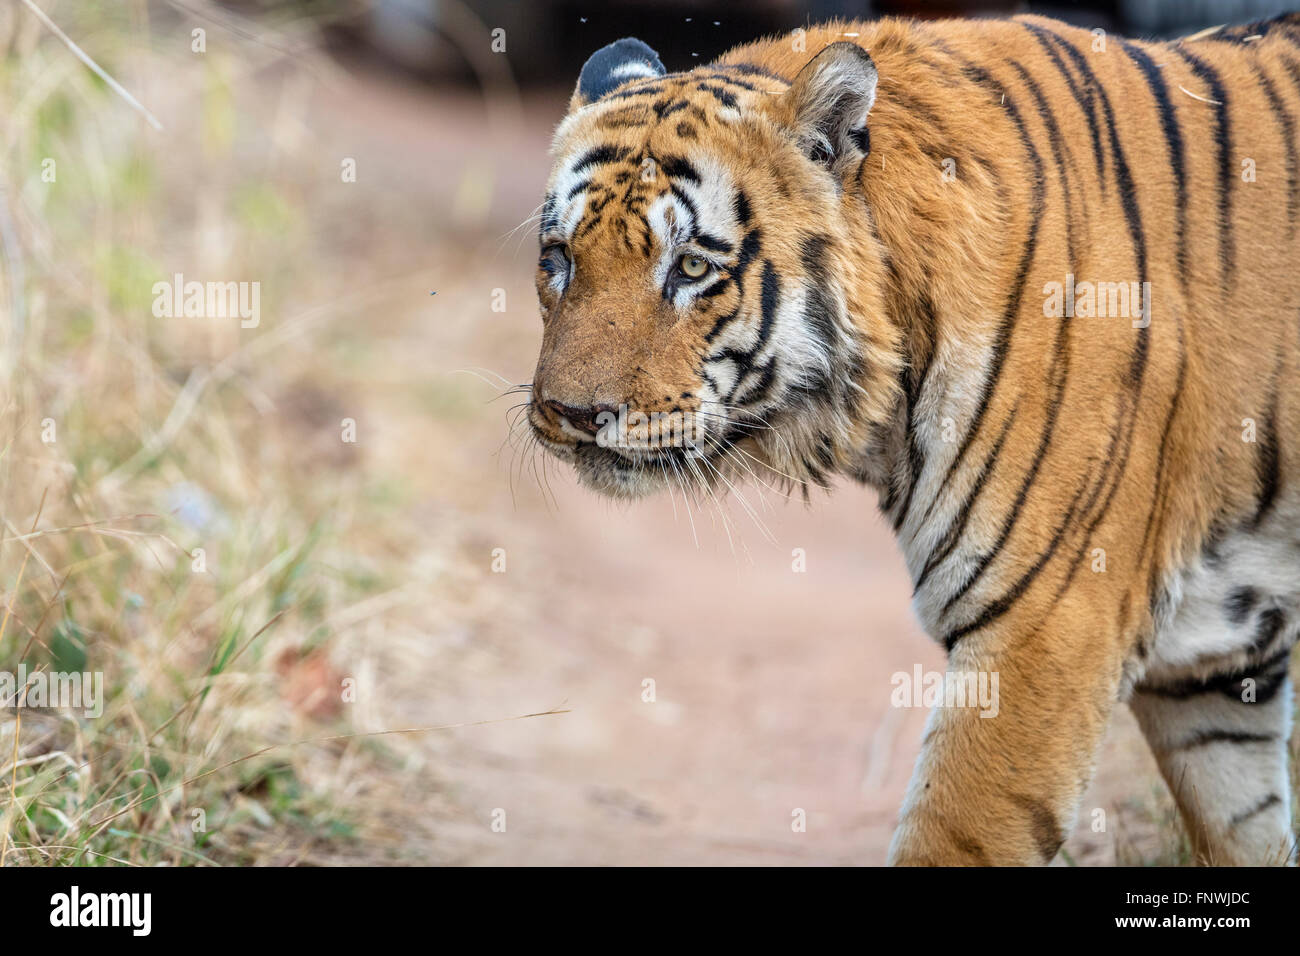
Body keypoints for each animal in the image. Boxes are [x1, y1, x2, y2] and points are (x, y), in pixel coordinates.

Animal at [524, 13, 1300, 865]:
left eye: (691, 267)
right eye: (558, 259)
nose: (571, 413)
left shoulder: (1047, 627)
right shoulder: (1211, 666)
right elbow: (1246, 826)